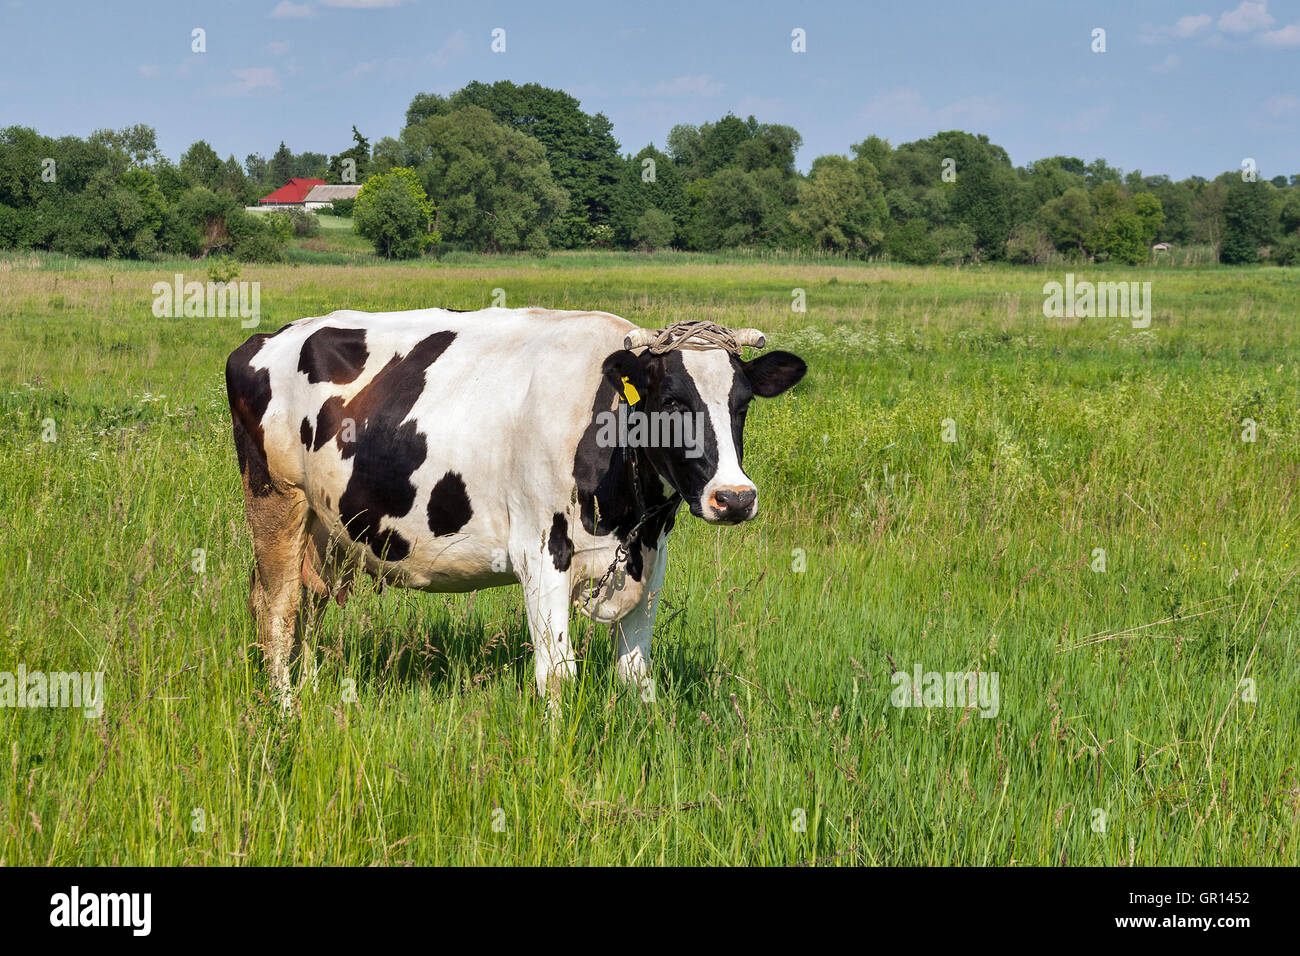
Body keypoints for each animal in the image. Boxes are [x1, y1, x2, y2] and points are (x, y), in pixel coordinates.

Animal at [224, 309, 806, 709]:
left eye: (742, 404)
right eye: (672, 402)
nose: (734, 497)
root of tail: (266, 338)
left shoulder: (651, 558)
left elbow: (636, 674)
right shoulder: (541, 552)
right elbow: (557, 673)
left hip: (326, 528)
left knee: (310, 605)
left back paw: (310, 690)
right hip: (277, 499)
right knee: (278, 609)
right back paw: (287, 710)